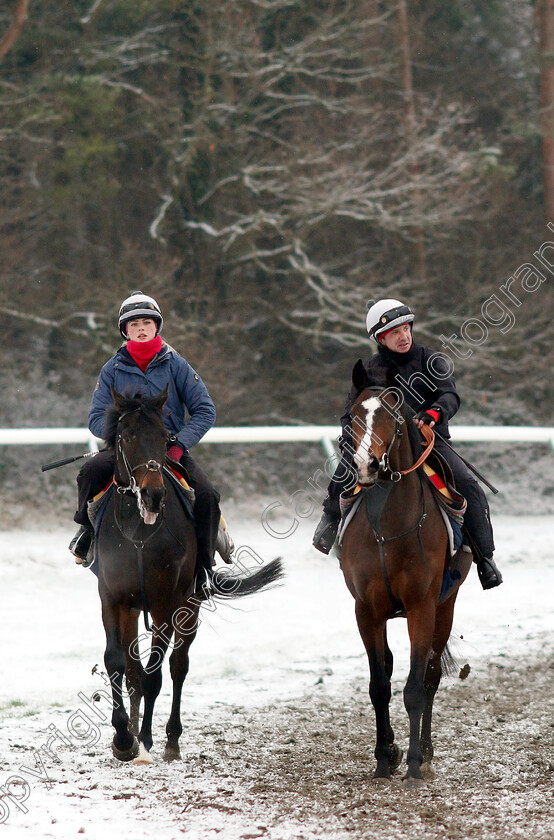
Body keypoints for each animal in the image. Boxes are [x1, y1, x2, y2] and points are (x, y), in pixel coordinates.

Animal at [95, 384, 282, 764]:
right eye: (126, 435)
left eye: (165, 436)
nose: (153, 494)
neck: (139, 531)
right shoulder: (113, 599)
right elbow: (118, 663)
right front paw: (123, 738)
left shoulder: (167, 603)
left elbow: (155, 675)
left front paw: (146, 740)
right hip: (136, 610)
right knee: (136, 670)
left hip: (189, 607)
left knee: (178, 666)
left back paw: (171, 740)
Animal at [340, 360, 470, 788]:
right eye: (352, 416)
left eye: (392, 417)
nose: (367, 465)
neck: (389, 527)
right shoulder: (366, 610)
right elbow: (380, 685)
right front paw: (385, 757)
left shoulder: (421, 606)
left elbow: (415, 688)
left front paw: (413, 761)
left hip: (445, 608)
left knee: (429, 678)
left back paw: (425, 755)